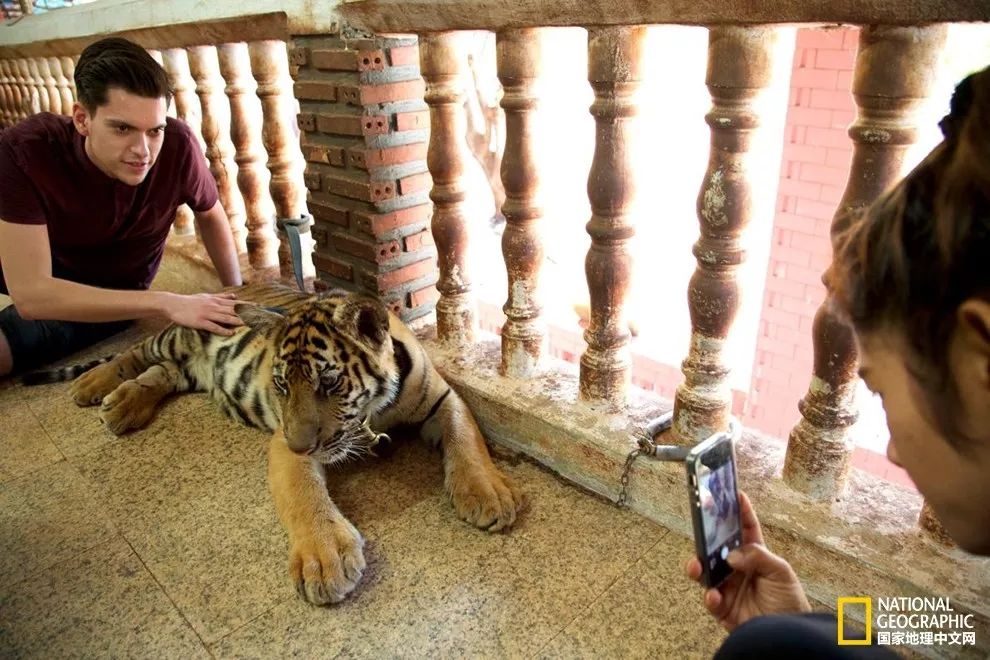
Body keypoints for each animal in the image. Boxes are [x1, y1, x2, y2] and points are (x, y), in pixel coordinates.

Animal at [31, 281, 525, 605]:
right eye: (283, 385)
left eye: (329, 382)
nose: (303, 445)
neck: (371, 411)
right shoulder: (283, 443)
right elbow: (304, 496)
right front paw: (325, 560)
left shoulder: (443, 398)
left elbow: (466, 438)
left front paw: (488, 494)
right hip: (179, 335)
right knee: (137, 352)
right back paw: (94, 386)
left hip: (185, 368)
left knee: (161, 373)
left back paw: (123, 407)